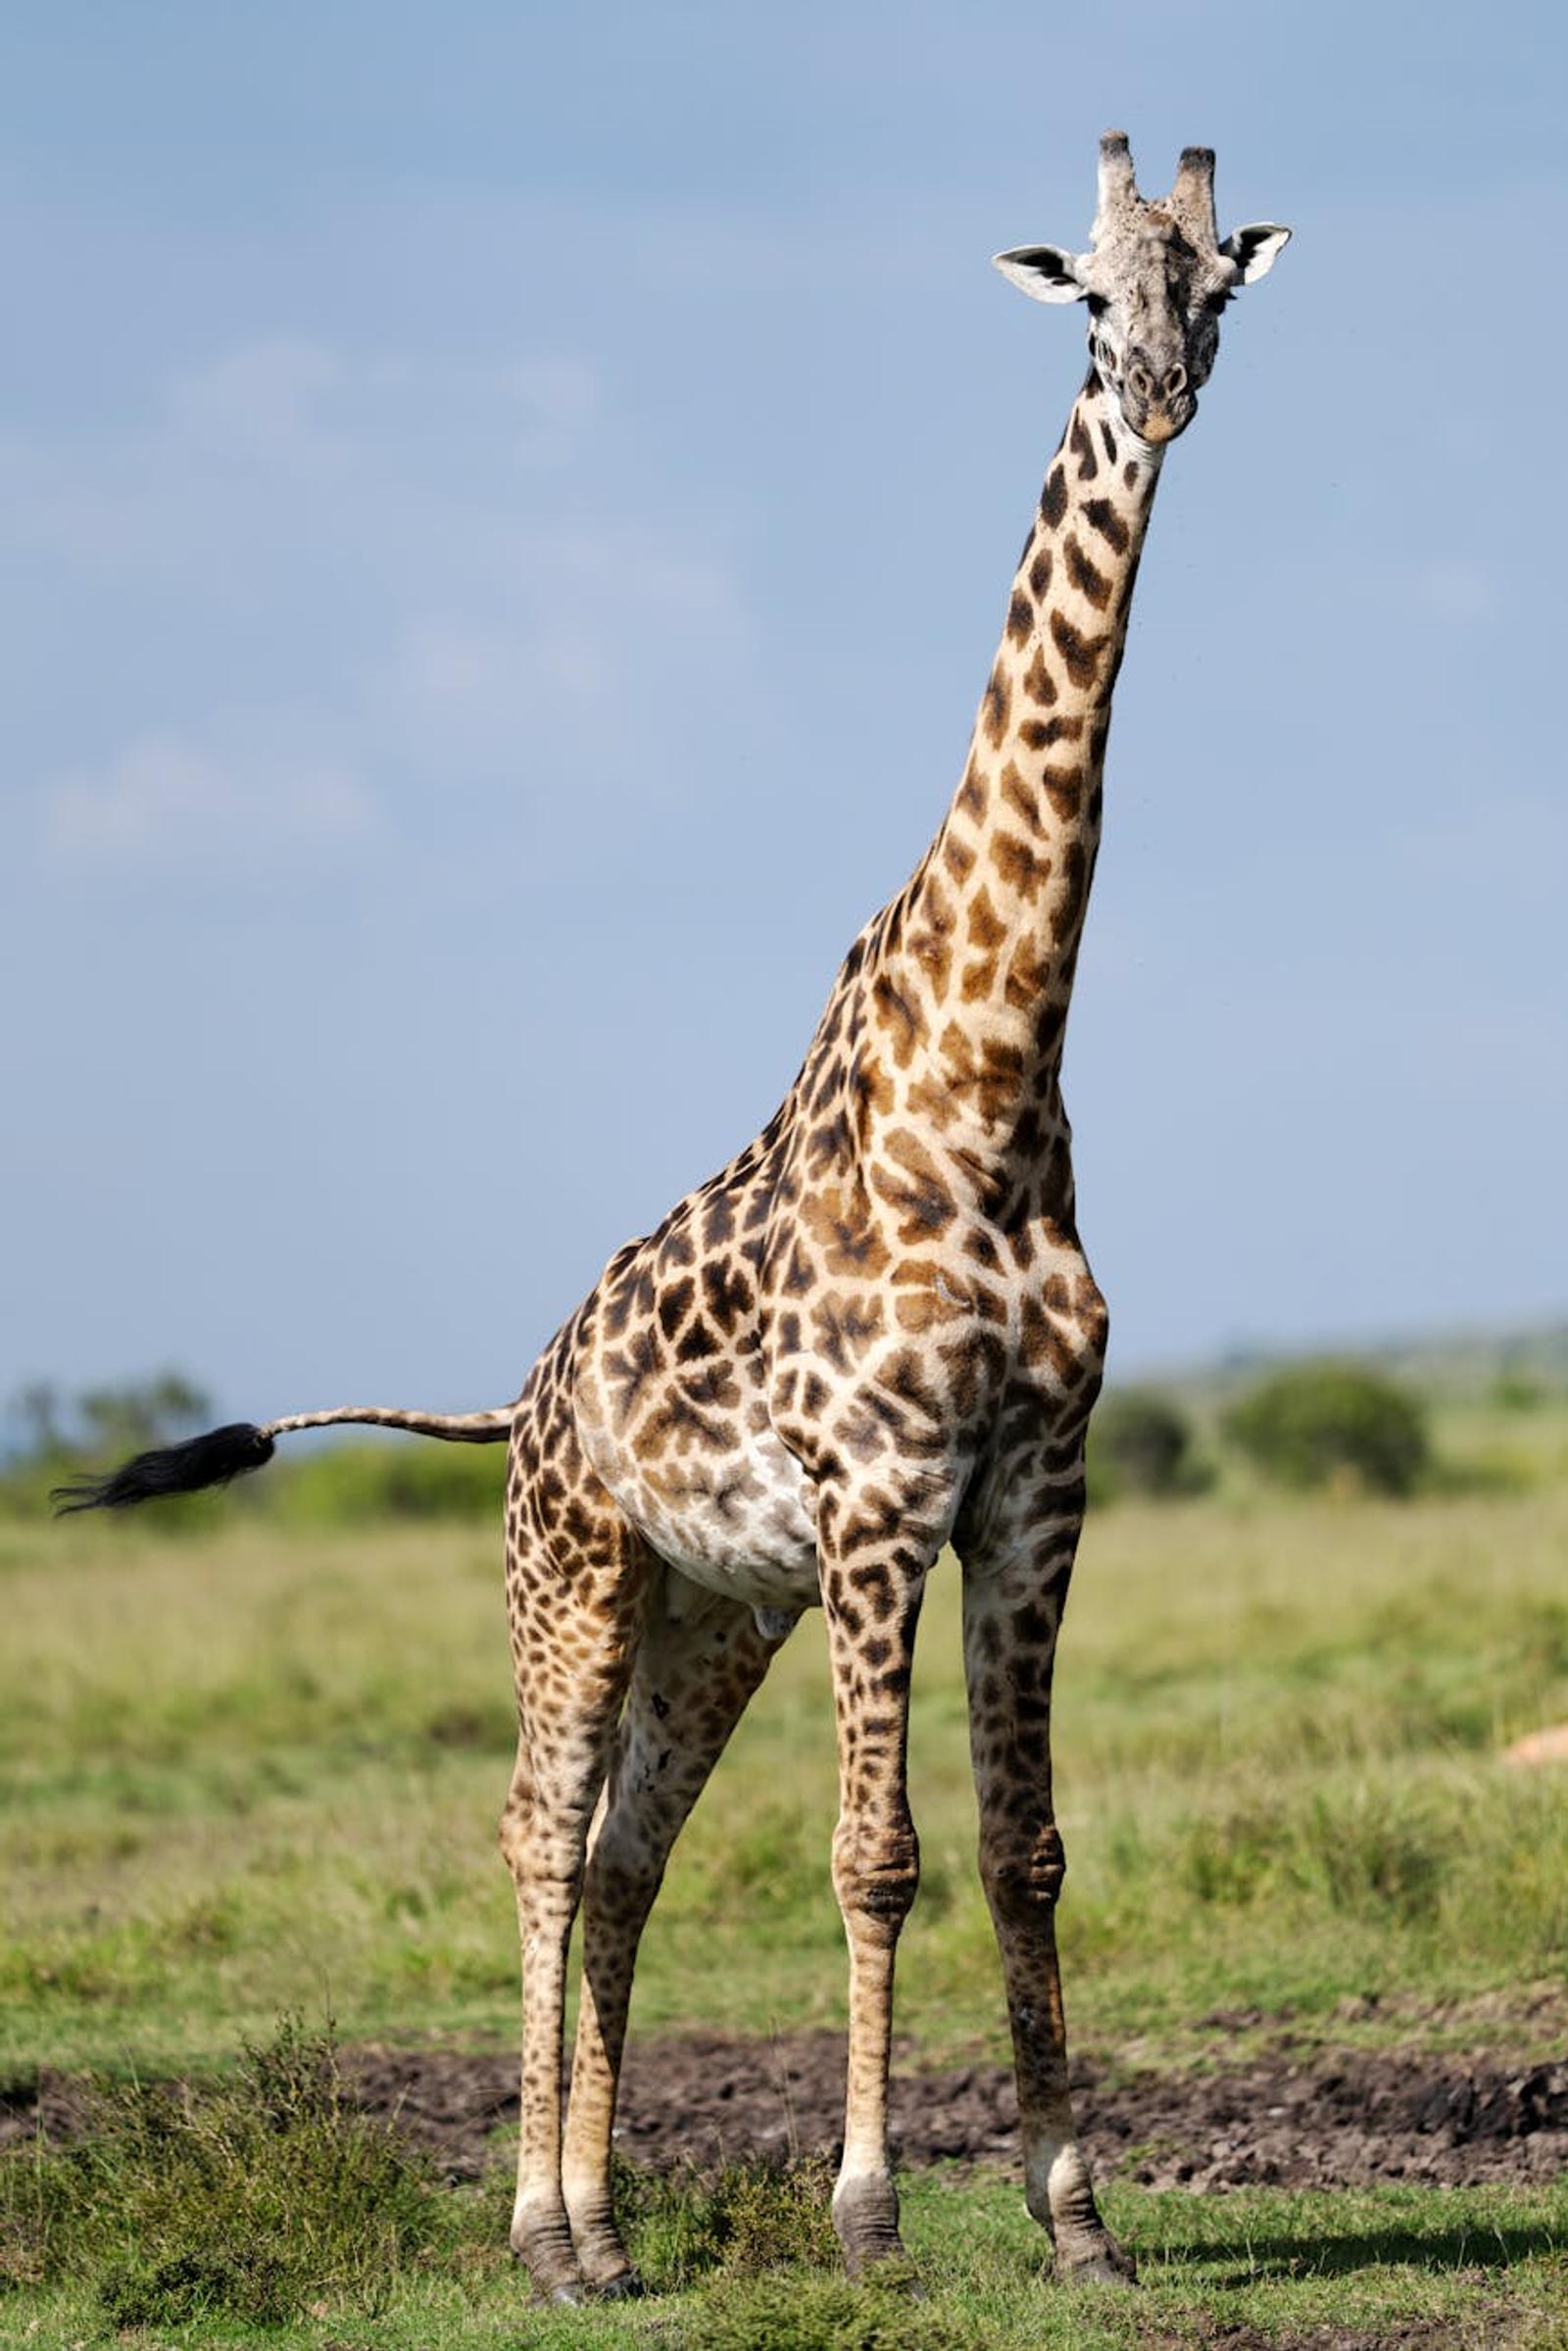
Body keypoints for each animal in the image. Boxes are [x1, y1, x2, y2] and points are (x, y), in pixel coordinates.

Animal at [59, 133, 1289, 2301]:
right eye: (1086, 293)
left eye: (1214, 282)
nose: (1157, 392)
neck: (994, 1078)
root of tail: (517, 1392)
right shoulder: (882, 1491)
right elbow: (877, 1854)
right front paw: (874, 2212)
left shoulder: (1031, 1490)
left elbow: (1025, 1845)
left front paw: (1077, 2216)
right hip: (568, 1574)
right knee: (539, 1838)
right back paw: (538, 2227)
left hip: (711, 1602)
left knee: (629, 1853)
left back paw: (608, 2229)